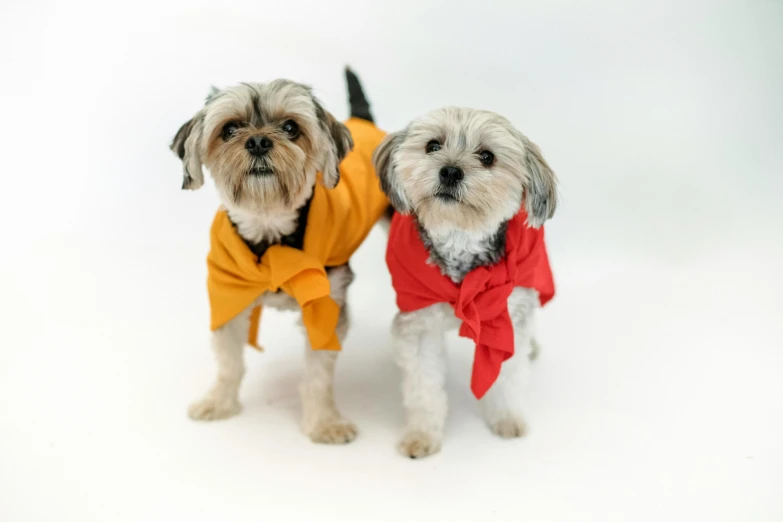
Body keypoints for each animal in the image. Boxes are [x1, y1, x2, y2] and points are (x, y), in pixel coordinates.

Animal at [173, 68, 390, 442]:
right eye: (229, 129)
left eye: (290, 127)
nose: (259, 141)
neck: (269, 231)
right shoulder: (227, 294)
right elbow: (229, 363)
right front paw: (218, 403)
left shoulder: (325, 304)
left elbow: (318, 374)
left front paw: (325, 423)